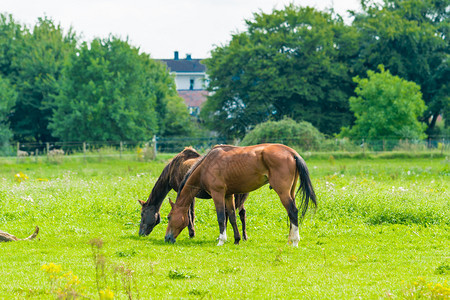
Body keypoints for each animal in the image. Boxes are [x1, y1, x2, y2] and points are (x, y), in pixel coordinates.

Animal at [165, 145, 316, 246]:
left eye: (169, 217)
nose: (167, 238)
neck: (206, 165)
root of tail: (291, 152)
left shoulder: (218, 194)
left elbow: (221, 217)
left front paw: (221, 240)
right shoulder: (228, 195)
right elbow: (232, 217)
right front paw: (237, 239)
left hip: (283, 192)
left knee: (293, 211)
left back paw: (295, 241)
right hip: (291, 191)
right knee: (291, 214)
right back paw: (290, 240)